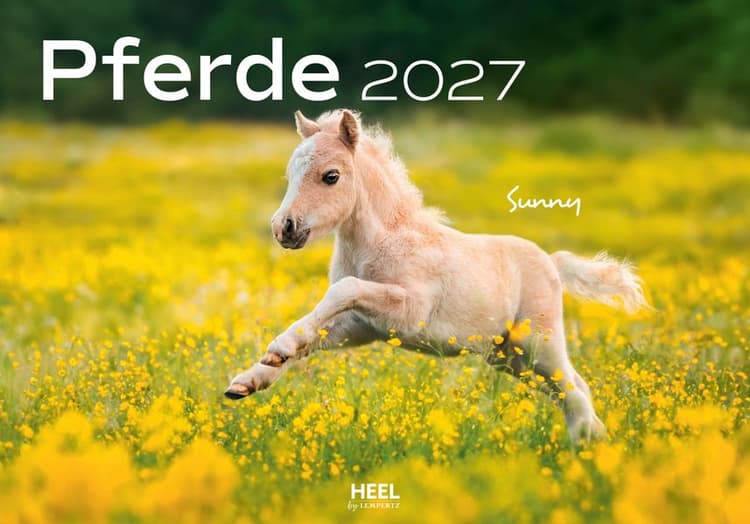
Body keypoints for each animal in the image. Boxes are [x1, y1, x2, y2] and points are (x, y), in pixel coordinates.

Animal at [224, 109, 649, 442]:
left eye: (331, 176)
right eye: (290, 173)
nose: (284, 228)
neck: (384, 240)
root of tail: (552, 262)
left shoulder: (409, 311)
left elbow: (342, 289)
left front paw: (277, 348)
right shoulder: (361, 326)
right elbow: (316, 331)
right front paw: (251, 379)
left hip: (538, 343)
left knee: (573, 389)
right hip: (509, 357)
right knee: (570, 391)